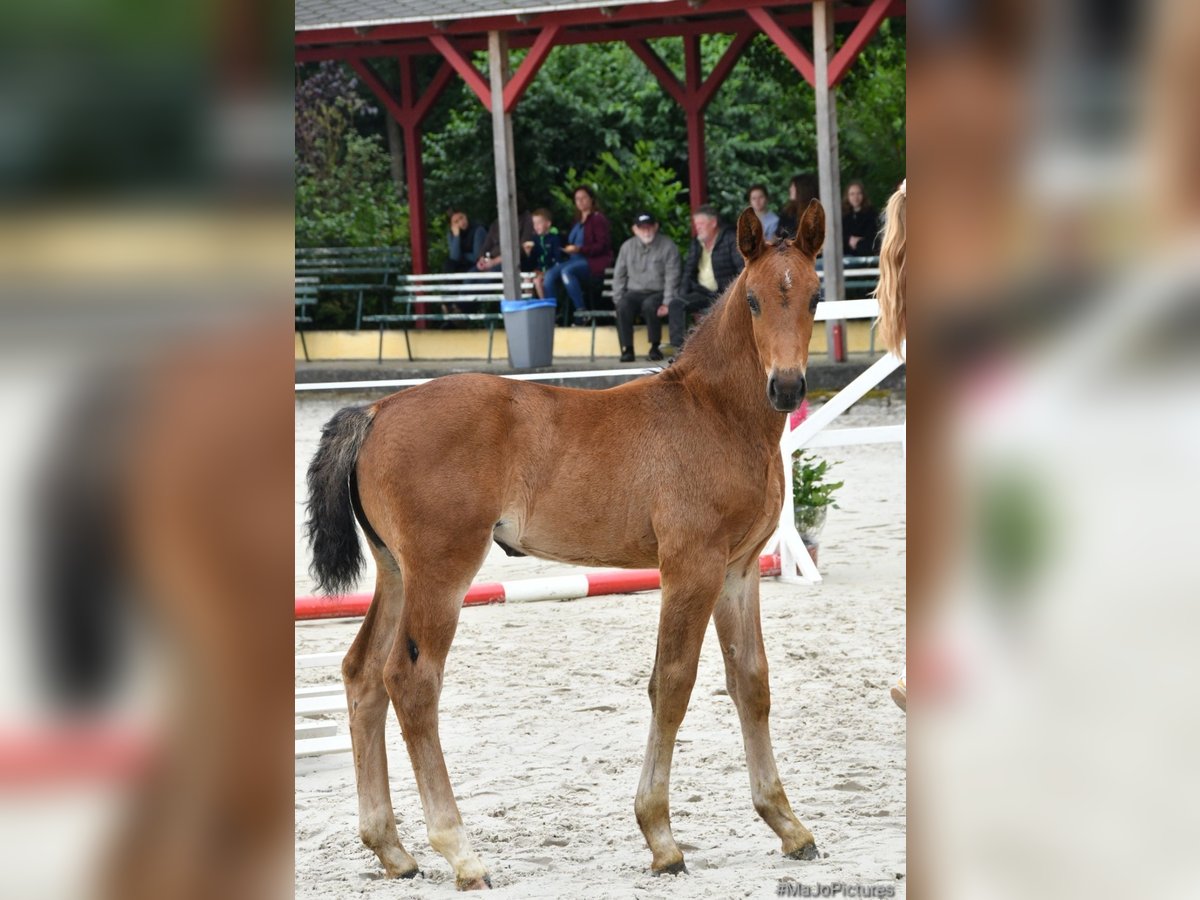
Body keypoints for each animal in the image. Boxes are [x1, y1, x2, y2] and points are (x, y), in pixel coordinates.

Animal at [307, 200, 835, 892]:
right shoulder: (690, 567)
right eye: (751, 299)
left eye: (815, 295)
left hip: (395, 572)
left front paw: (788, 826)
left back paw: (391, 849)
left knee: (362, 673)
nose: (788, 388)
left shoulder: (739, 572)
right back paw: (461, 853)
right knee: (411, 681)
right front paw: (661, 839)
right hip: (441, 570)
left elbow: (751, 682)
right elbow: (672, 683)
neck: (712, 413)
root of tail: (377, 410)